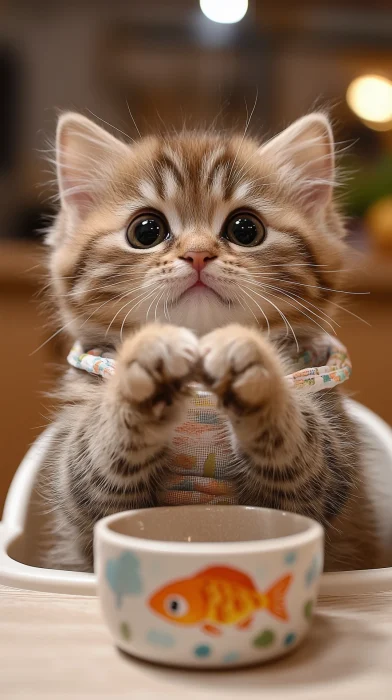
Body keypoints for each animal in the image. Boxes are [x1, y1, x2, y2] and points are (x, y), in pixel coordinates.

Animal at [41, 108, 378, 568]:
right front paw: (146, 364)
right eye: (146, 231)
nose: (198, 253)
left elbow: (307, 452)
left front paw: (252, 363)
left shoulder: (326, 472)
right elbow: (93, 457)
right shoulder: (83, 496)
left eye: (245, 229)